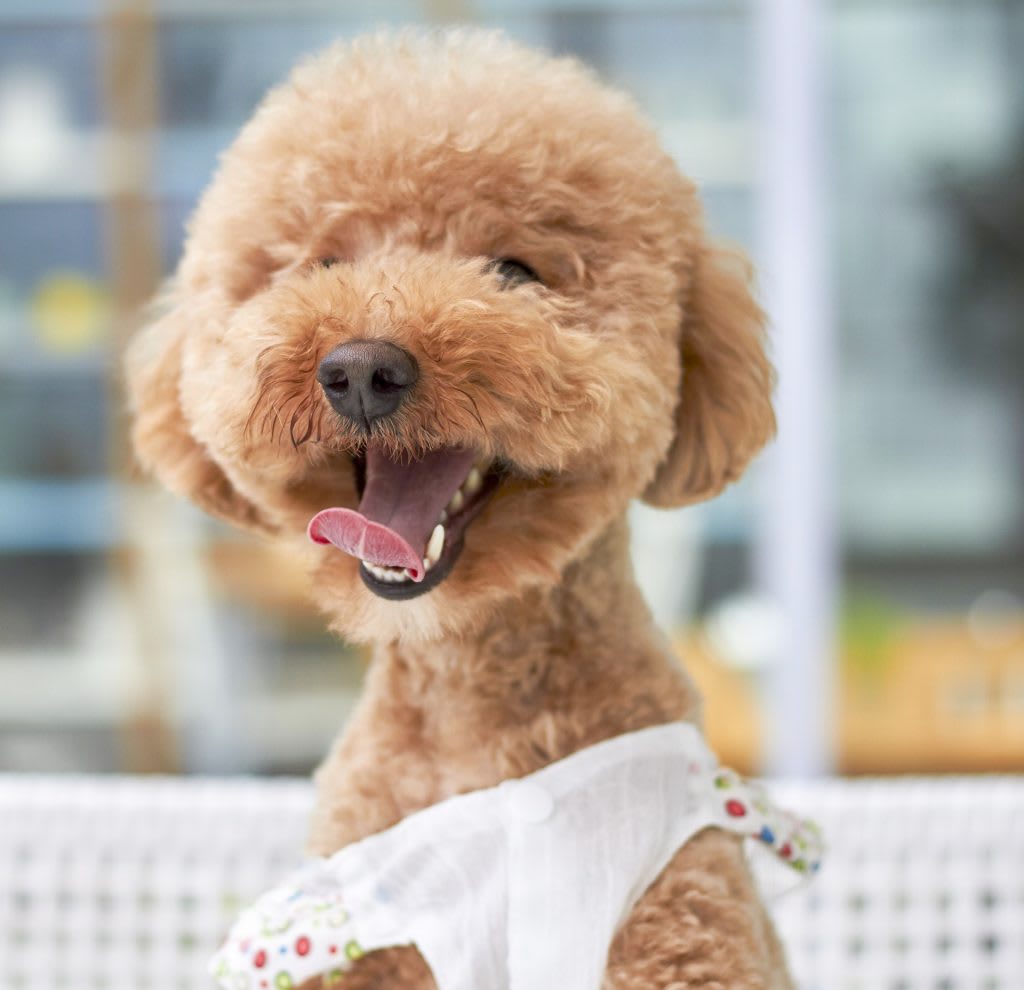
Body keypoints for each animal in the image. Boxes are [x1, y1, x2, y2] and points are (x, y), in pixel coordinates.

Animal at [125, 30, 782, 990]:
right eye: (325, 264)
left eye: (513, 271)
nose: (361, 368)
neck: (475, 720)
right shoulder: (358, 938)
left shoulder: (687, 919)